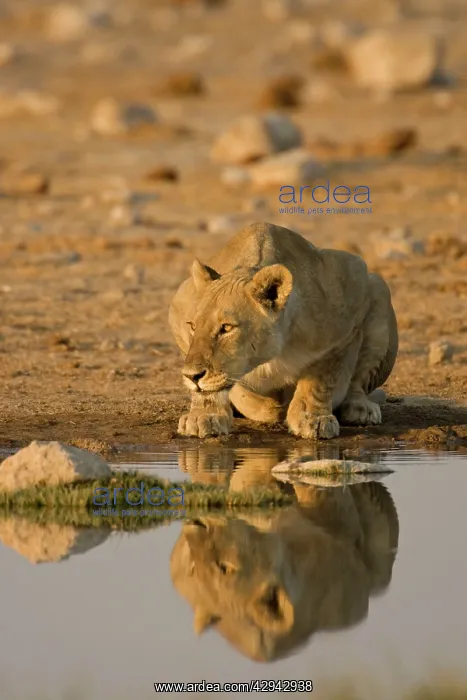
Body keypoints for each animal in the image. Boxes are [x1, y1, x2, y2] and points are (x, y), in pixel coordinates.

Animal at [168, 222, 398, 439]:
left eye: (226, 328)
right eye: (193, 326)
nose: (191, 376)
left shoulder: (350, 292)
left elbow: (321, 377)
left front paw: (312, 419)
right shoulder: (179, 304)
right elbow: (209, 389)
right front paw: (204, 415)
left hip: (379, 289)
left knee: (359, 381)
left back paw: (360, 408)